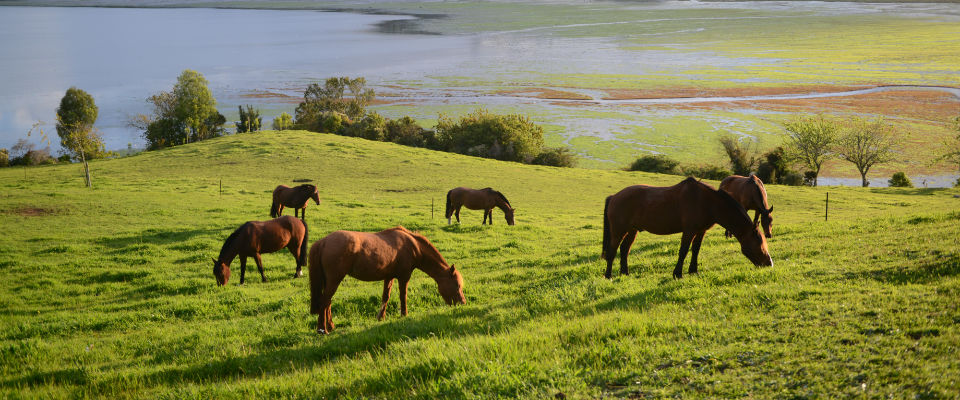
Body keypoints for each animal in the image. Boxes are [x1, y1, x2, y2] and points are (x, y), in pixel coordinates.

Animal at [310, 225, 466, 334]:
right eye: (457, 285)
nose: (463, 303)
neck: (412, 245)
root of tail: (324, 241)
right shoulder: (404, 277)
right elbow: (403, 296)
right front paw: (404, 315)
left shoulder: (389, 277)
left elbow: (386, 296)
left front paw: (381, 317)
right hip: (334, 280)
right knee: (324, 301)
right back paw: (322, 329)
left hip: (330, 281)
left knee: (327, 302)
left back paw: (330, 326)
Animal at [604, 177, 776, 280]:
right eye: (759, 243)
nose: (769, 263)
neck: (707, 202)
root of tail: (614, 197)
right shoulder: (689, 231)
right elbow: (684, 251)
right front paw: (677, 273)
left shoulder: (700, 231)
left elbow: (695, 250)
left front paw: (694, 270)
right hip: (618, 231)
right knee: (612, 251)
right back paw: (608, 275)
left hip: (632, 230)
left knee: (624, 249)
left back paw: (624, 273)